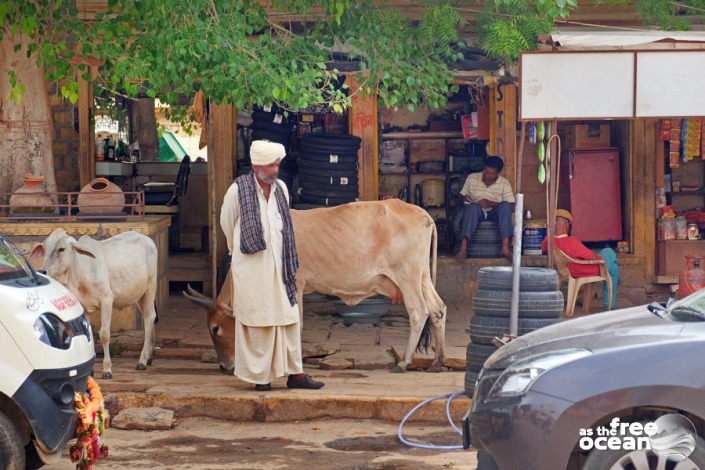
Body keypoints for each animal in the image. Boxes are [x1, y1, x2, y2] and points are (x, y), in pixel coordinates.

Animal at [31, 228, 157, 378]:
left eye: (61, 249)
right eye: (44, 249)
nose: (42, 271)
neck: (81, 274)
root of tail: (146, 238)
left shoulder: (107, 300)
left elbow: (104, 335)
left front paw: (107, 369)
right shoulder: (83, 306)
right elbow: (88, 335)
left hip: (150, 287)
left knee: (149, 318)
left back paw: (142, 360)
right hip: (138, 294)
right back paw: (149, 357)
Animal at [184, 199, 442, 374]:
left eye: (215, 328)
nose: (224, 366)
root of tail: (423, 215)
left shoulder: (295, 286)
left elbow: (294, 325)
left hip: (407, 277)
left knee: (419, 312)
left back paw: (404, 362)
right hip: (422, 277)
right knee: (437, 310)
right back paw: (438, 361)